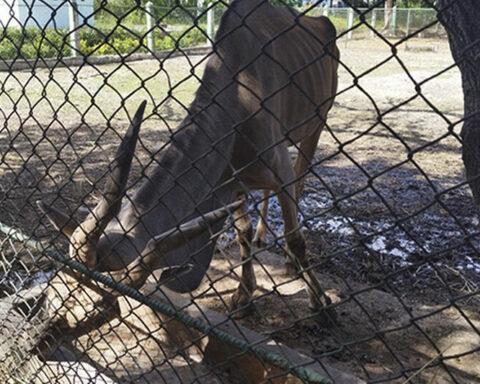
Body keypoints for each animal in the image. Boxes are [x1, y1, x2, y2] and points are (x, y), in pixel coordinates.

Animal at [37, 0, 340, 324]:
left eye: (101, 305)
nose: (52, 321)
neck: (237, 98)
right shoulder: (231, 182)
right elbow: (242, 232)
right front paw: (243, 295)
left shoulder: (278, 171)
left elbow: (295, 236)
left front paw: (321, 302)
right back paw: (261, 237)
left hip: (317, 123)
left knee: (301, 179)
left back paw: (292, 262)